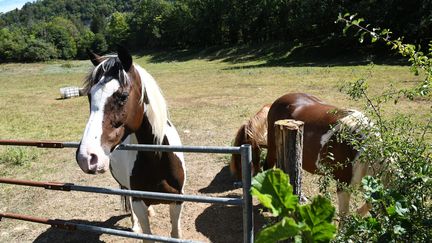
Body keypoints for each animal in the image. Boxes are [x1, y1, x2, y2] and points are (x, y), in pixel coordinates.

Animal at [75, 46, 186, 239]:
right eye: (89, 96)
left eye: (123, 96)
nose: (86, 157)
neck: (157, 161)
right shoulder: (138, 201)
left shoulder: (177, 201)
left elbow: (175, 233)